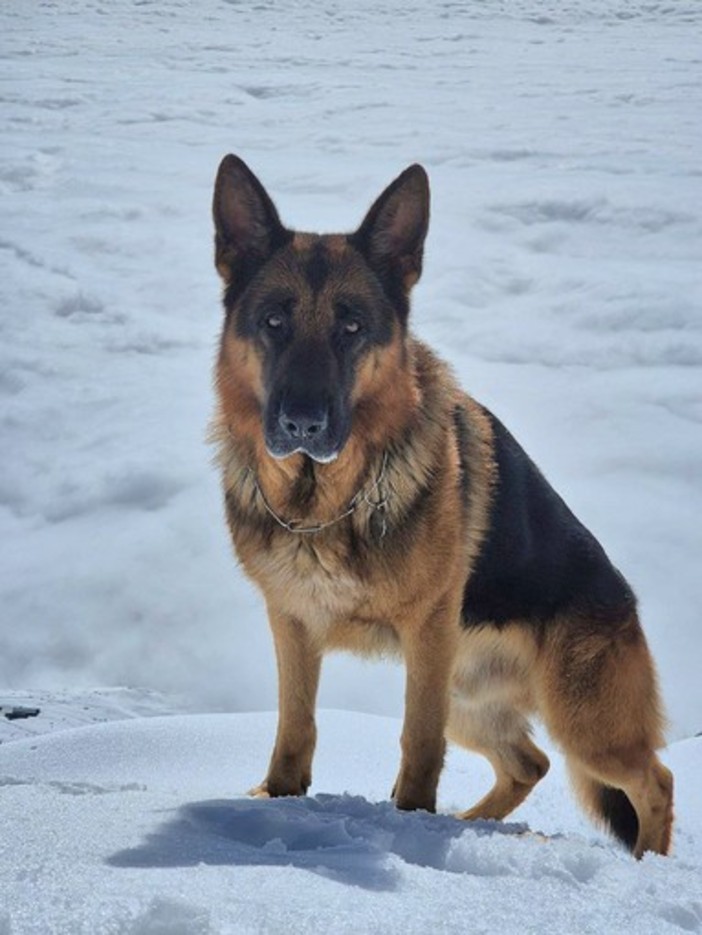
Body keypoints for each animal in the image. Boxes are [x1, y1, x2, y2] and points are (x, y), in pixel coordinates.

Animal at [212, 152, 672, 856]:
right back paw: (473, 826)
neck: (326, 504)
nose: (302, 424)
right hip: (469, 699)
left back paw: (646, 863)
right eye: (273, 322)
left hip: (583, 723)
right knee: (530, 762)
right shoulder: (291, 622)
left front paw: (409, 826)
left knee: (654, 781)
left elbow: (417, 741)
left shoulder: (427, 633)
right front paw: (278, 807)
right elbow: (295, 727)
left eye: (352, 326)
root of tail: (627, 600)